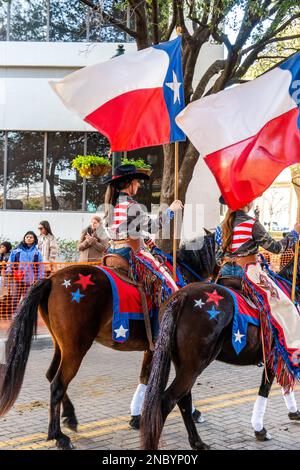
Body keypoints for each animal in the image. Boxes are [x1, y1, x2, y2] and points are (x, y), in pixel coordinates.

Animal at [0, 237, 214, 450]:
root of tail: (51, 279)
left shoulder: (152, 349)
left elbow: (145, 377)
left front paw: (136, 417)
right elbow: (177, 389)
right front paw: (193, 413)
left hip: (61, 345)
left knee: (51, 374)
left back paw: (70, 416)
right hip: (76, 348)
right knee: (58, 384)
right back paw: (58, 436)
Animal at [142, 252, 300, 450]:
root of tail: (182, 297)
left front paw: (293, 413)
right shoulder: (278, 356)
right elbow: (266, 389)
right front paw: (260, 429)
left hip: (183, 365)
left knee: (184, 399)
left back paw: (197, 442)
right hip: (194, 365)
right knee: (167, 401)